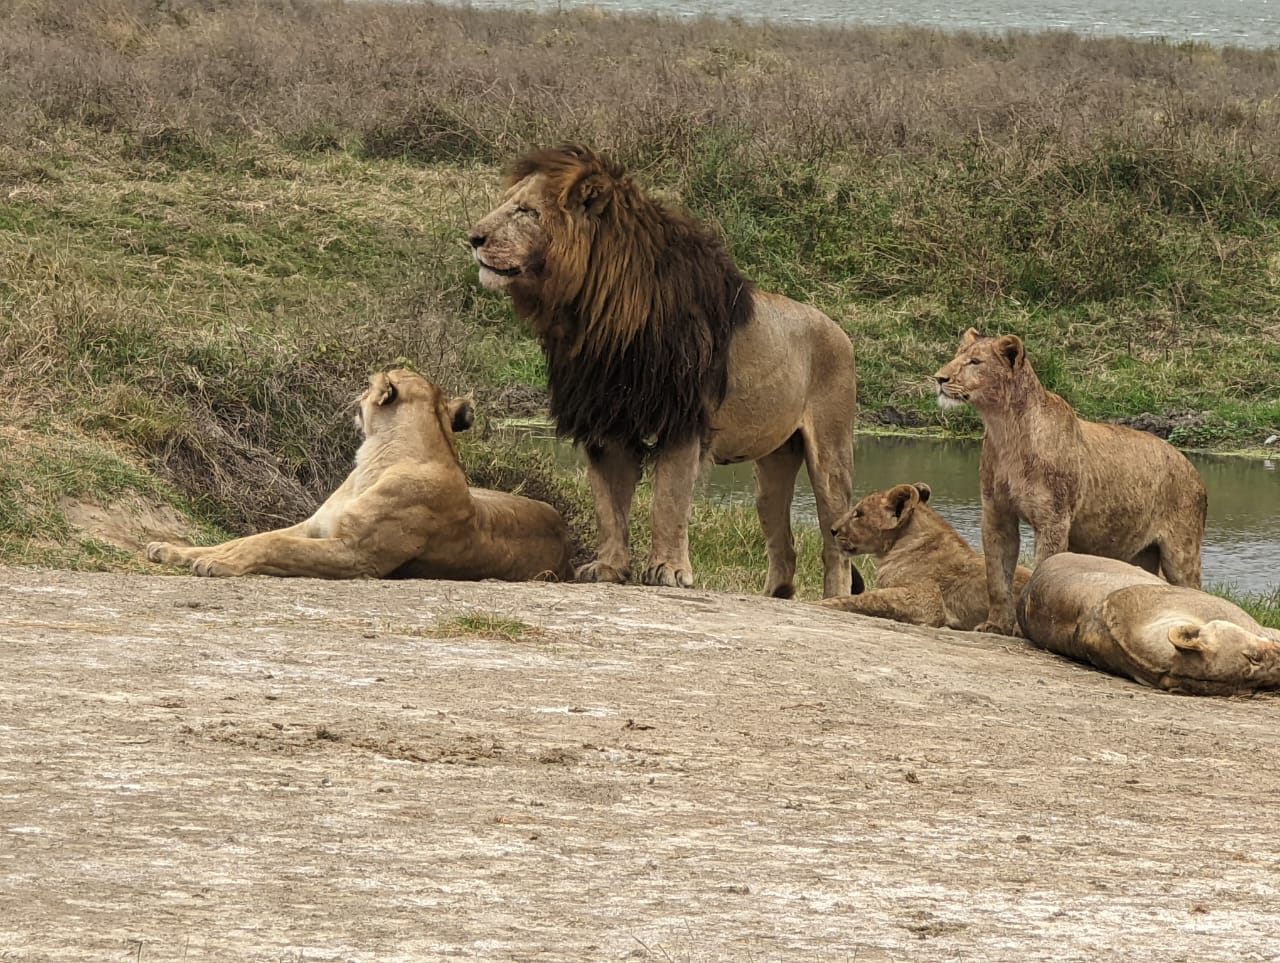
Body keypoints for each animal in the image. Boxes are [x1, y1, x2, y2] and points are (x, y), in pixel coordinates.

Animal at [146, 369, 574, 582]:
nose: (353, 396)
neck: (374, 461)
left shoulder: (357, 557)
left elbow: (276, 546)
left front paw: (221, 564)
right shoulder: (314, 526)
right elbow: (251, 538)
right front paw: (176, 551)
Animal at [467, 144, 858, 598]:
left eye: (527, 211)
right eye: (507, 204)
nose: (473, 238)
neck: (596, 317)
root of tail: (838, 330)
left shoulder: (681, 419)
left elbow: (668, 501)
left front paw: (669, 571)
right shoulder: (606, 421)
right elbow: (608, 506)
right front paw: (608, 567)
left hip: (830, 455)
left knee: (834, 542)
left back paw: (834, 599)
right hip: (772, 467)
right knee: (784, 540)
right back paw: (774, 596)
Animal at [934, 328, 1206, 636]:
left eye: (975, 362)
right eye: (957, 356)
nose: (940, 378)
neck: (1004, 430)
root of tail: (1192, 468)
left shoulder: (1054, 519)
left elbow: (1042, 568)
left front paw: (1021, 627)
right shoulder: (996, 513)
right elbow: (997, 576)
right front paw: (995, 624)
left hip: (1182, 550)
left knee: (1192, 587)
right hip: (1140, 554)